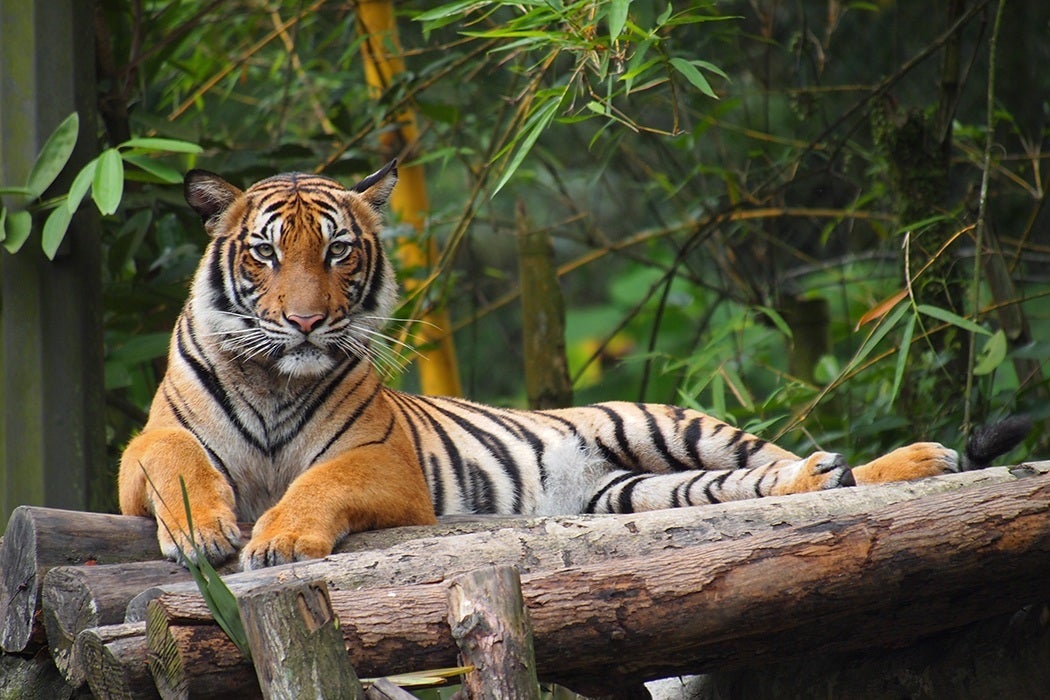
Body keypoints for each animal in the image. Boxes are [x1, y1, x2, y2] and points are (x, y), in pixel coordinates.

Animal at [119, 161, 1029, 570]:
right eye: (267, 255)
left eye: (338, 253)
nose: (307, 320)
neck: (278, 377)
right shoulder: (141, 453)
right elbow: (173, 458)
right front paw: (202, 531)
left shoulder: (381, 461)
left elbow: (319, 482)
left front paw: (278, 539)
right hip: (638, 490)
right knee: (775, 481)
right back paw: (833, 472)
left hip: (672, 424)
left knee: (795, 461)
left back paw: (916, 460)